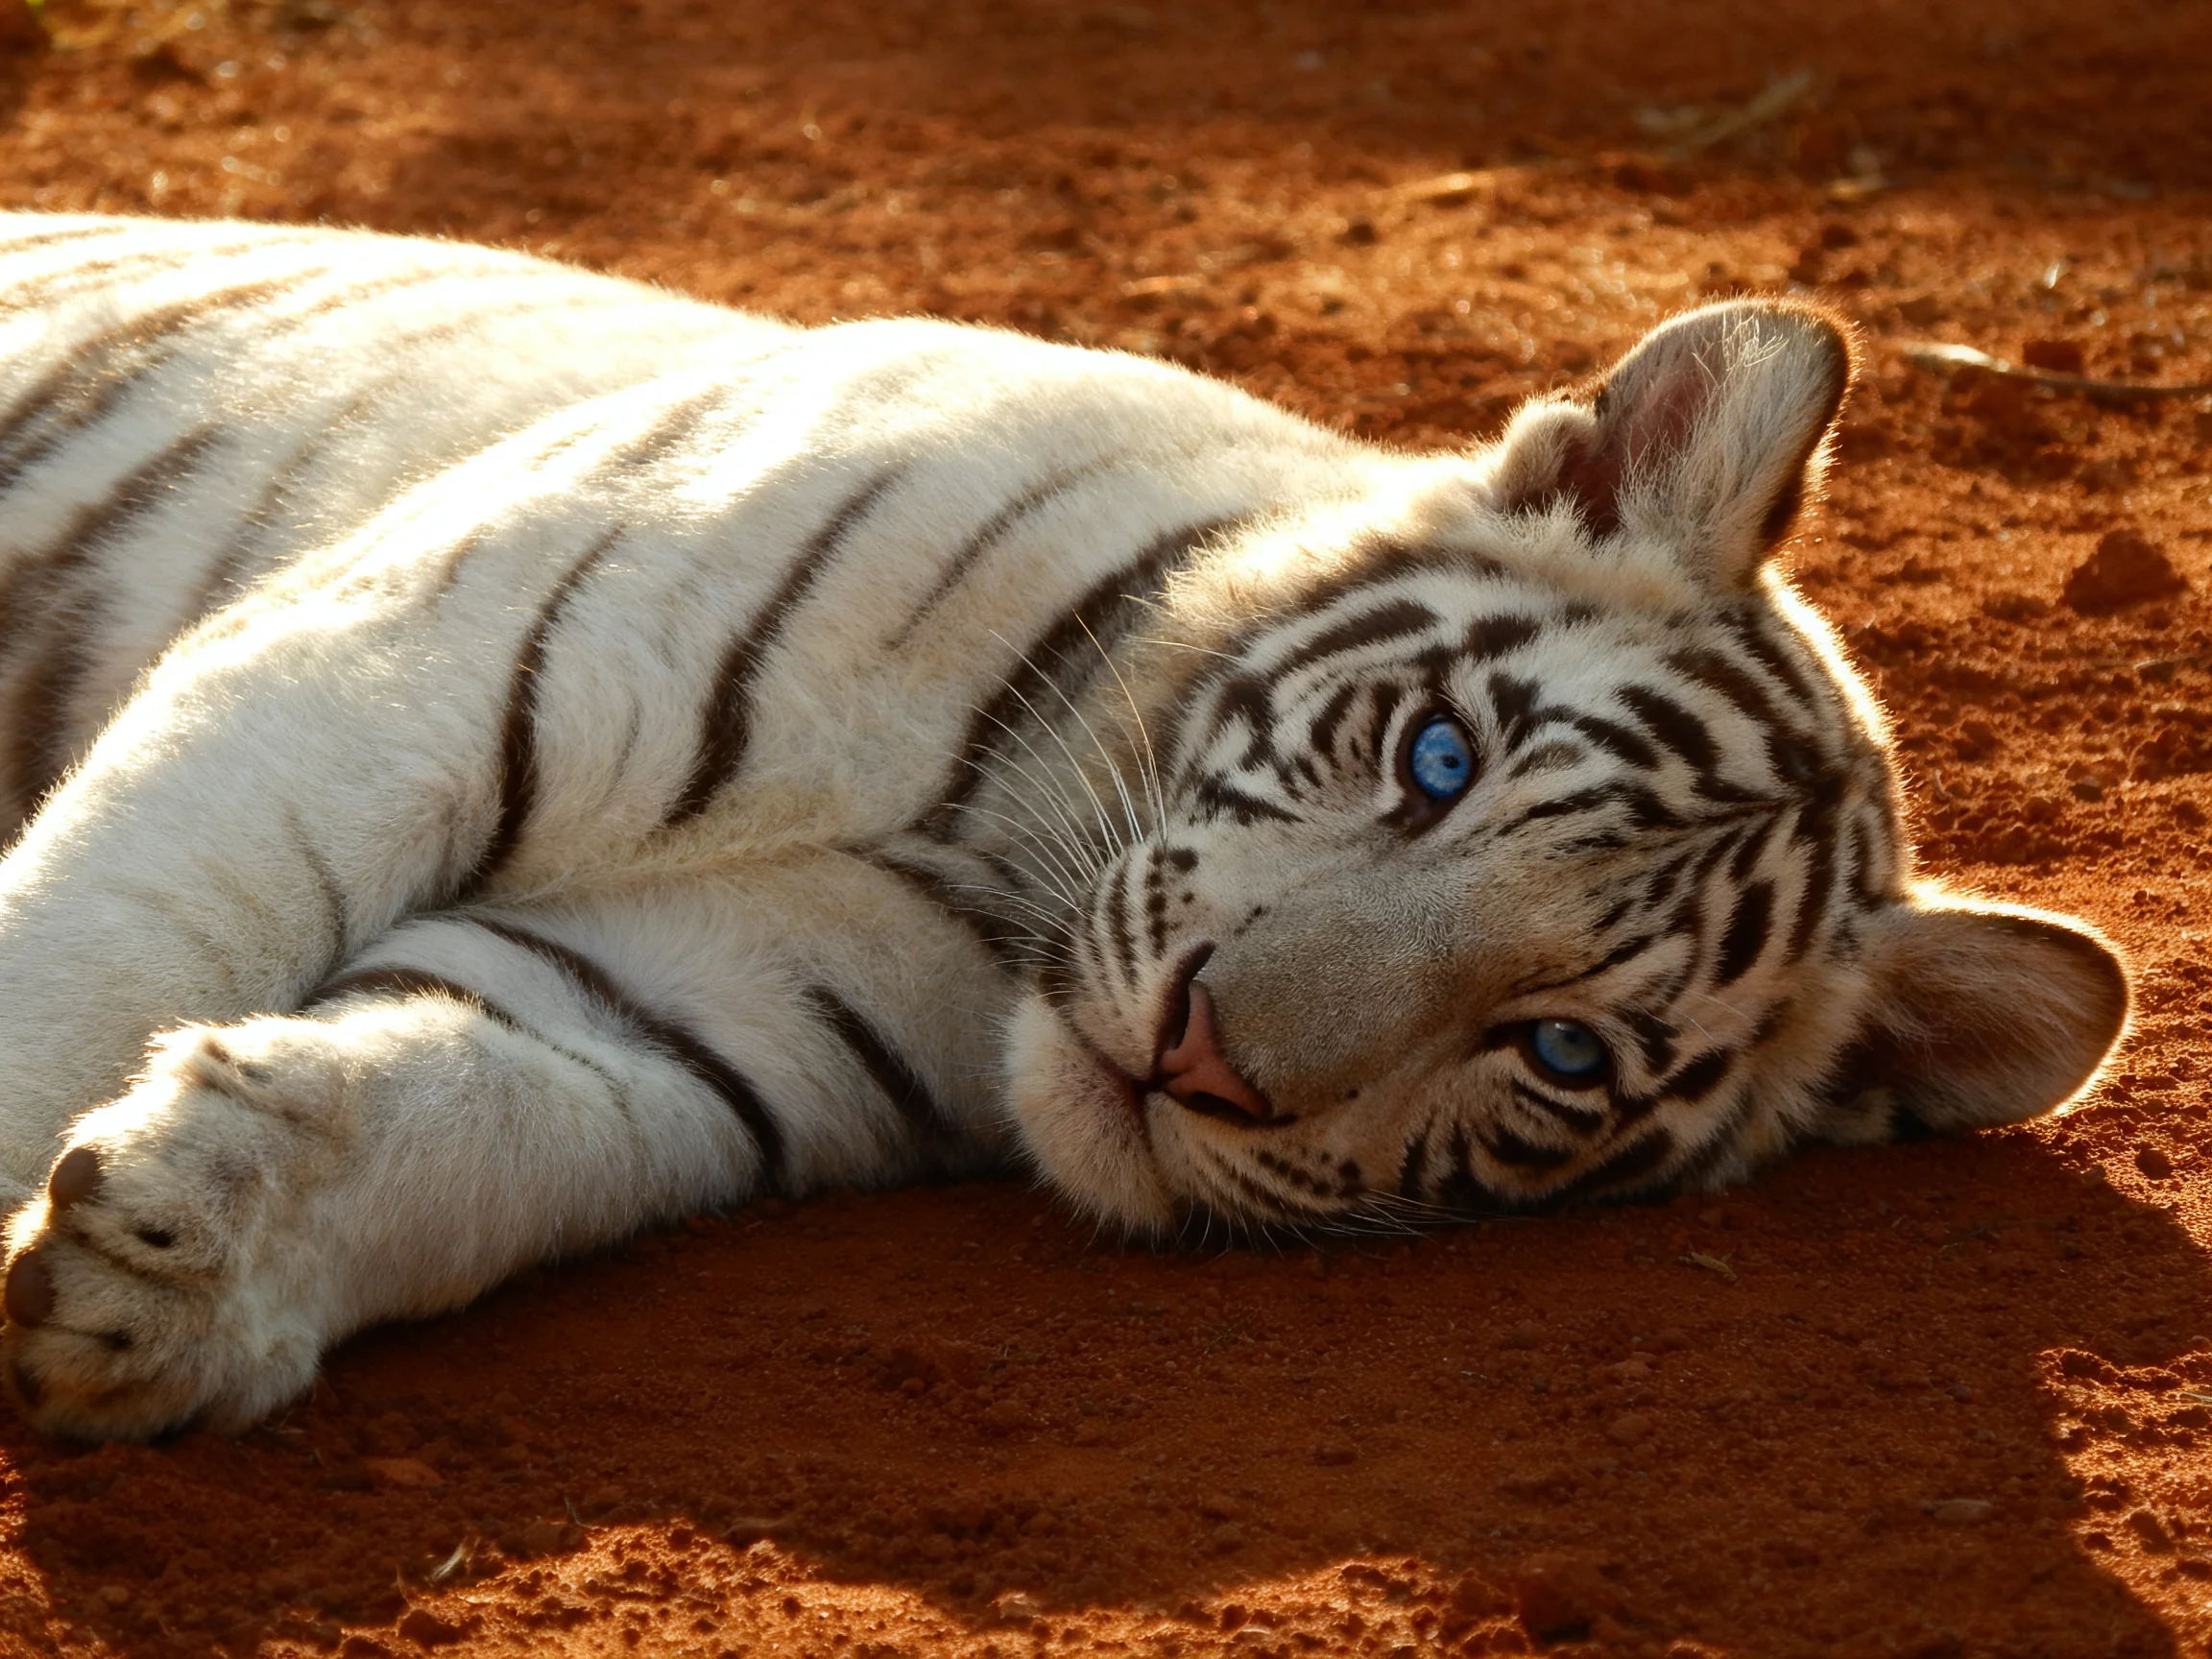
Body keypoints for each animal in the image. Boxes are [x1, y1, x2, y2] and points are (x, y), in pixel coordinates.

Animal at [0, 214, 2127, 1441]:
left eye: (1563, 1054)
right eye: (1440, 759)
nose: (1200, 1061)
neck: (991, 842)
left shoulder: (675, 1014)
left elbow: (469, 1119)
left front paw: (176, 1267)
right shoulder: (375, 677)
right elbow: (89, 963)